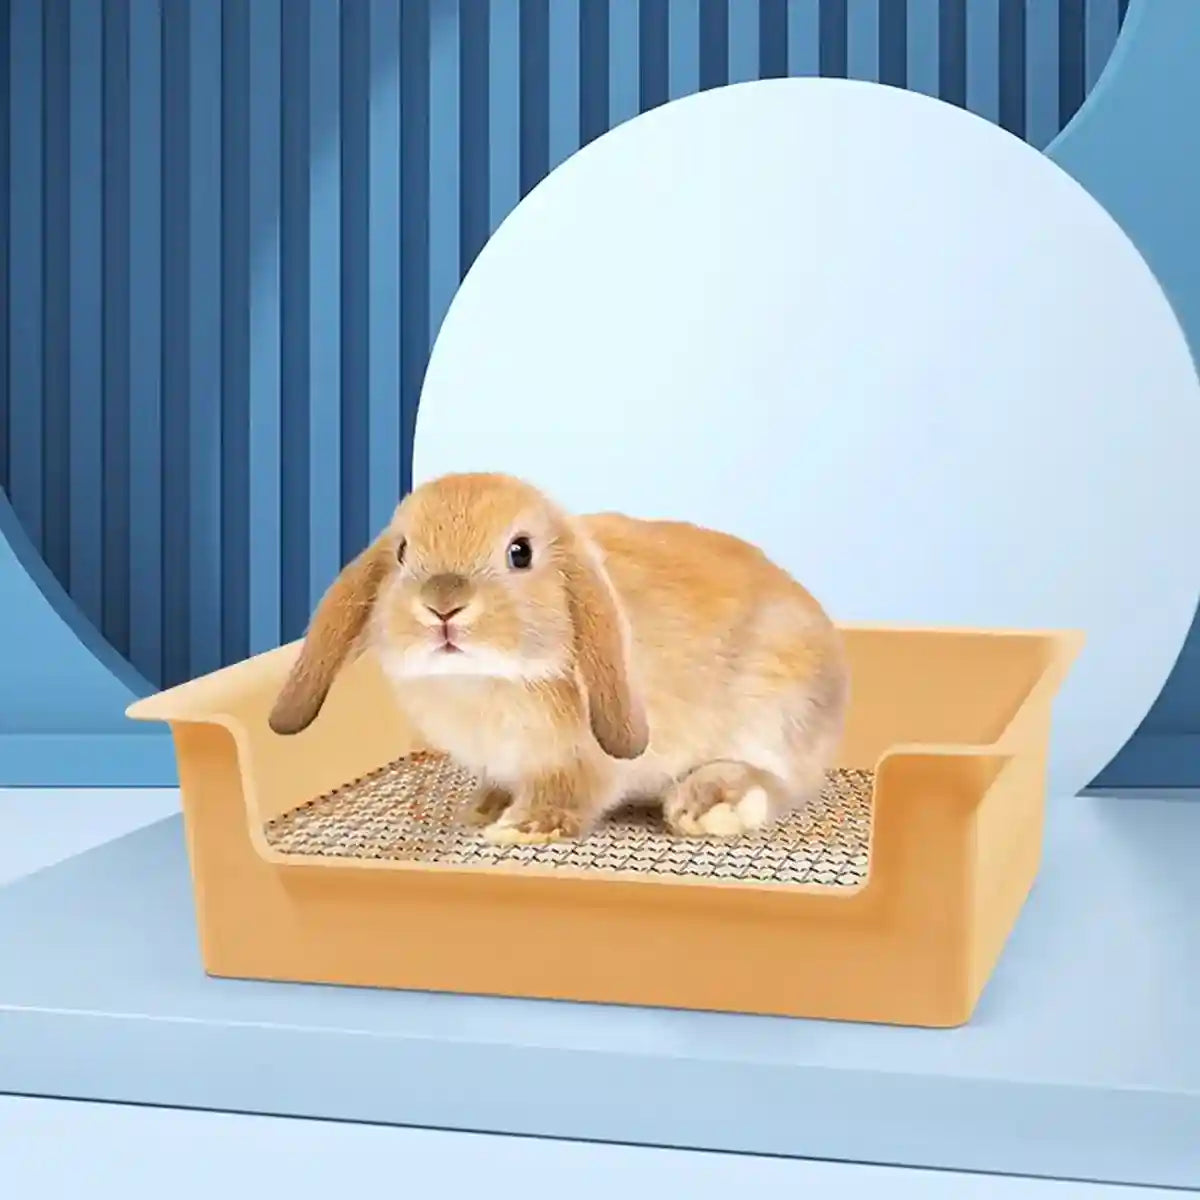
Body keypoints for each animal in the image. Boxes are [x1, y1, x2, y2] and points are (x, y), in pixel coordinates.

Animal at [268, 472, 849, 846]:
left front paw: (520, 829)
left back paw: (710, 805)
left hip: (774, 711)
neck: (482, 678)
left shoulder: (579, 763)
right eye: (403, 552)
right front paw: (482, 810)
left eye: (520, 552)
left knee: (777, 781)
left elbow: (567, 794)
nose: (442, 605)